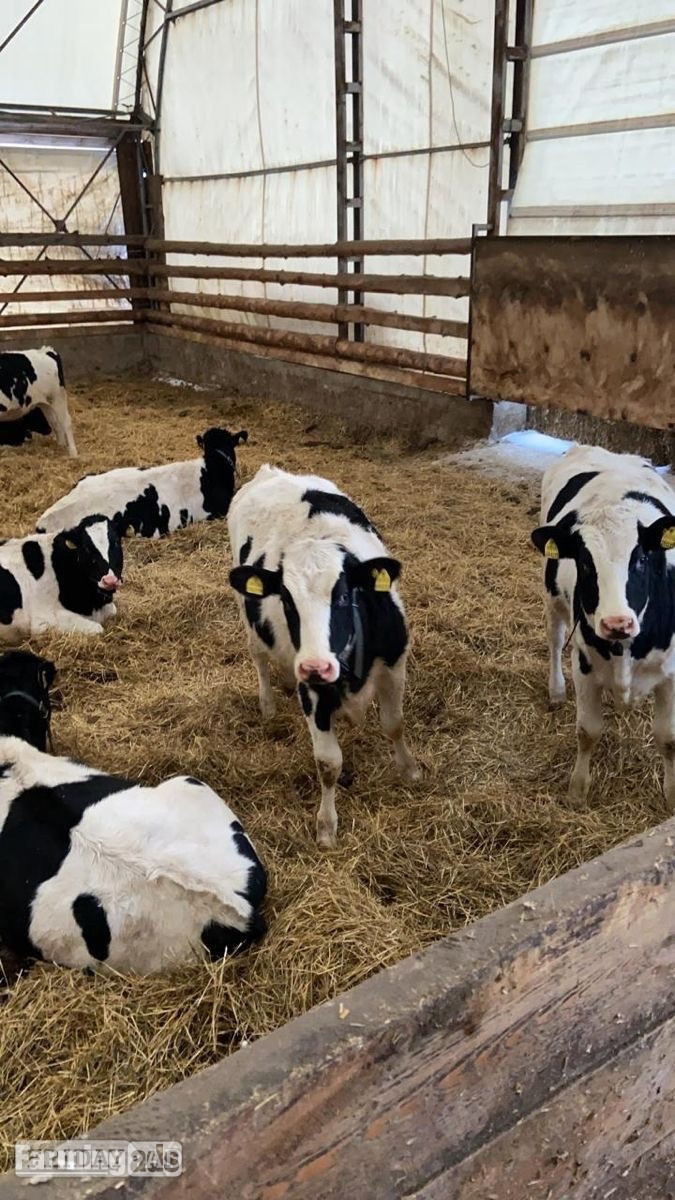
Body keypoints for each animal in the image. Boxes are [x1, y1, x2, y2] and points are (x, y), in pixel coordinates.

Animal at [228, 465, 419, 847]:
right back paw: (268, 703)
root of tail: (271, 472)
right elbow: (329, 763)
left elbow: (394, 724)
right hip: (249, 618)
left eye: (344, 595)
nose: (315, 666)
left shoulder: (395, 666)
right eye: (286, 600)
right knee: (259, 658)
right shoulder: (314, 693)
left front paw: (409, 770)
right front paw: (327, 826)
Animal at [531, 444, 675, 807]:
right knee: (555, 641)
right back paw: (556, 690)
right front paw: (578, 789)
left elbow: (668, 738)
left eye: (641, 559)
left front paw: (671, 795)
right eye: (584, 561)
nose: (616, 623)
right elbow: (588, 731)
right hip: (552, 598)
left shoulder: (672, 673)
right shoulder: (584, 664)